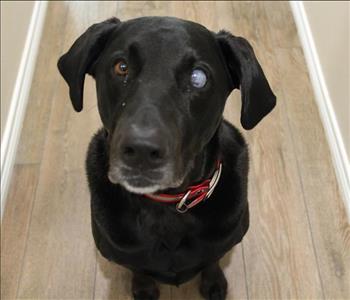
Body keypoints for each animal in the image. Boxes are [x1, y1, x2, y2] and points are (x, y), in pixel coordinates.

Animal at [58, 17, 276, 300]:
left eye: (198, 78)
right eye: (121, 67)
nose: (141, 150)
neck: (167, 206)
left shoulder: (224, 240)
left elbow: (212, 261)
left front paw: (214, 283)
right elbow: (138, 268)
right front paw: (144, 289)